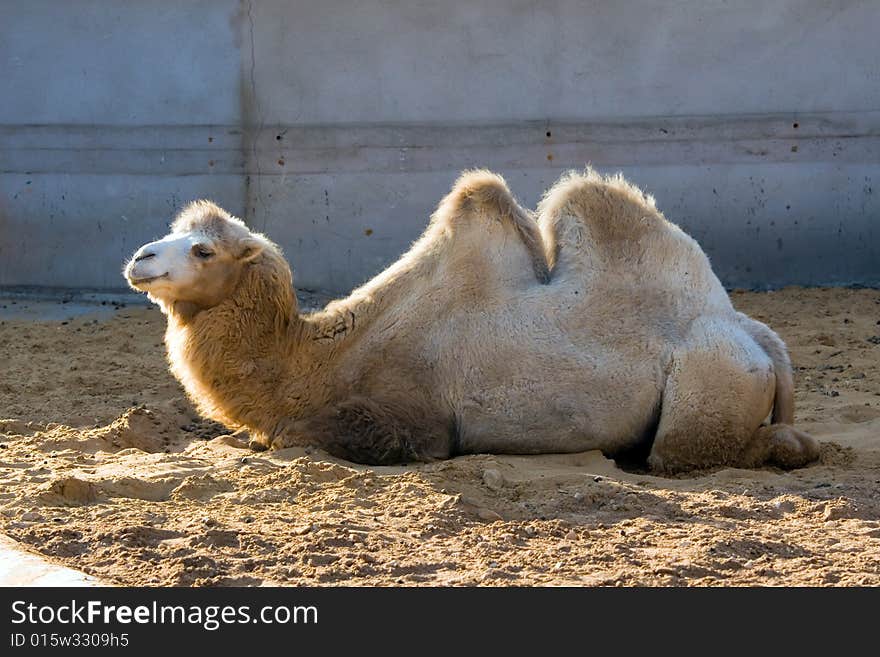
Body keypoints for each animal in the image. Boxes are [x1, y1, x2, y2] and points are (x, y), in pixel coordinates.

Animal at [124, 169, 820, 472]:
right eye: (174, 231)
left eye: (203, 250)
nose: (139, 257)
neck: (320, 359)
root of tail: (757, 337)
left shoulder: (415, 424)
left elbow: (297, 437)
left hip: (710, 381)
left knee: (684, 454)